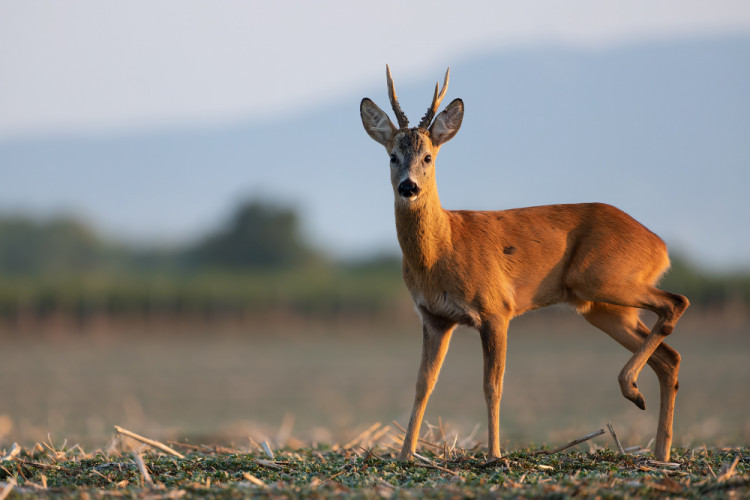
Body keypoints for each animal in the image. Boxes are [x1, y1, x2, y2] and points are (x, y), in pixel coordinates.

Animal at [362, 65, 692, 460]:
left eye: (428, 157)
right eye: (392, 156)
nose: (408, 187)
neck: (443, 248)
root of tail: (660, 245)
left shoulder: (495, 309)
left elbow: (492, 386)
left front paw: (494, 455)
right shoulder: (435, 318)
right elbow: (422, 384)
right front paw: (405, 455)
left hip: (599, 278)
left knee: (676, 302)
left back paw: (632, 391)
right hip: (604, 307)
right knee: (670, 357)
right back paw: (659, 450)